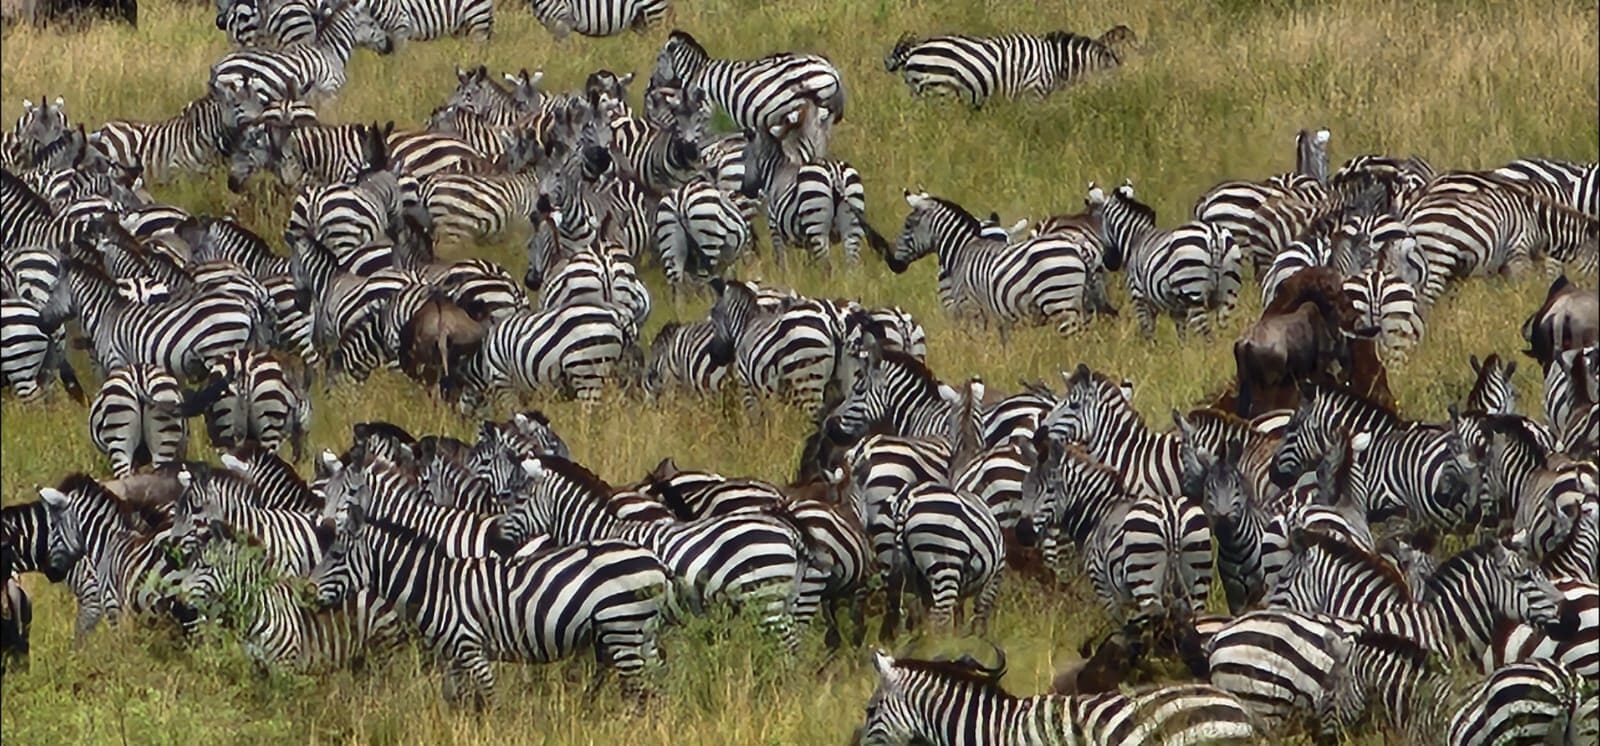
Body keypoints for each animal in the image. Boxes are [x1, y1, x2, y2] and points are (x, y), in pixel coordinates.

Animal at [310, 488, 674, 709]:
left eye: (336, 555)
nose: (307, 593)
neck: (434, 587)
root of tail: (654, 560)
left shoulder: (471, 646)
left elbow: (489, 698)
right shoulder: (452, 655)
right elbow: (454, 700)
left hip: (622, 626)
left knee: (636, 692)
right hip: (640, 632)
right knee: (653, 685)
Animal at [444, 301, 637, 411]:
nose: (459, 424)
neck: (483, 363)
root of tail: (616, 315)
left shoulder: (503, 381)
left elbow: (513, 412)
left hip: (586, 370)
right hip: (620, 373)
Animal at [887, 191, 1110, 336]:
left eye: (908, 225)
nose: (893, 264)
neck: (961, 250)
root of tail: (1078, 247)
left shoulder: (972, 310)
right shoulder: (1000, 319)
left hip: (1060, 303)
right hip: (1085, 304)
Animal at [1088, 180, 1242, 337]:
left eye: (1099, 225)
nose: (1108, 262)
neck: (1136, 239)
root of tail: (1214, 235)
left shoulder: (1139, 297)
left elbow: (1148, 333)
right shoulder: (1177, 310)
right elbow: (1181, 335)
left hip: (1193, 293)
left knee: (1205, 335)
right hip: (1228, 295)